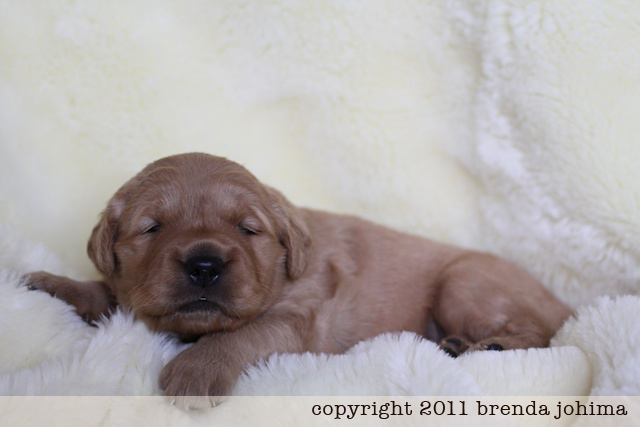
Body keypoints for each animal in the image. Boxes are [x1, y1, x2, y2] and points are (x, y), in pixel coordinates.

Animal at [27, 153, 572, 408]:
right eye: (152, 227)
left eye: (247, 229)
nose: (204, 265)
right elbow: (110, 291)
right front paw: (54, 284)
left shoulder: (298, 317)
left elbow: (243, 334)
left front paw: (196, 371)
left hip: (463, 282)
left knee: (542, 333)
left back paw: (486, 347)